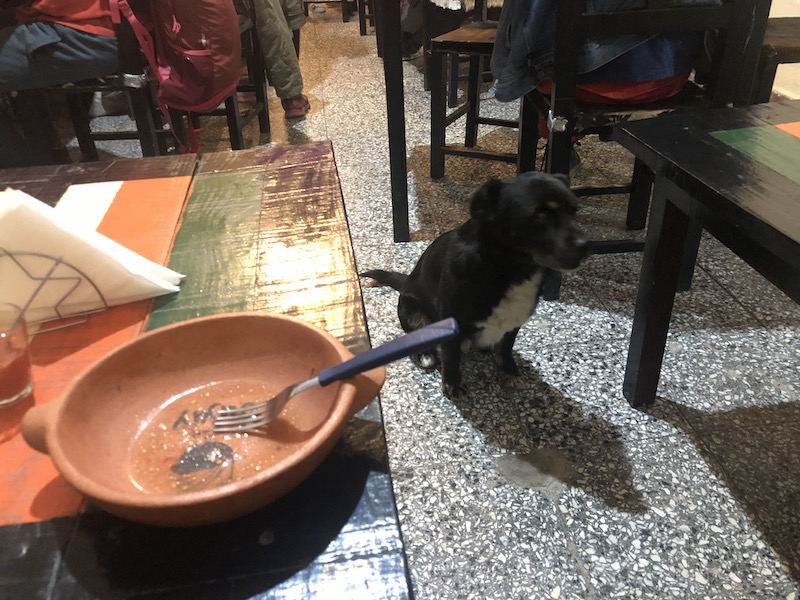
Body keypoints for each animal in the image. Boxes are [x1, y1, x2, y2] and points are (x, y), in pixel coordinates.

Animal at [362, 171, 588, 398]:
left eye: (574, 211)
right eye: (541, 213)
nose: (587, 246)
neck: (508, 270)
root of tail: (407, 280)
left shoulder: (514, 321)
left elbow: (506, 348)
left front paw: (509, 371)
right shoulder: (452, 323)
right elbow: (452, 358)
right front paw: (453, 384)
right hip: (410, 310)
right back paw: (427, 355)